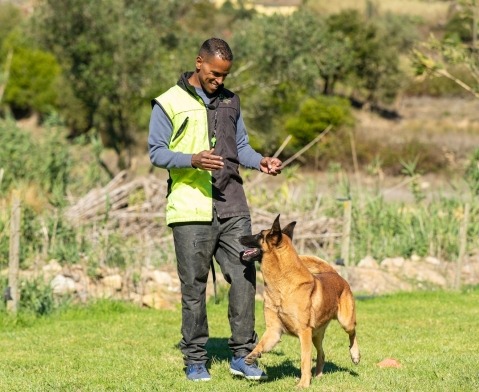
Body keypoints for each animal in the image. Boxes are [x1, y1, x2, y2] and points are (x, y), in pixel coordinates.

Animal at [240, 216, 360, 388]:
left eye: (259, 235)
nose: (239, 237)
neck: (282, 286)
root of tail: (334, 274)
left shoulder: (304, 332)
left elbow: (305, 360)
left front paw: (303, 384)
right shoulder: (274, 331)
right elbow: (261, 344)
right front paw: (252, 355)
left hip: (345, 322)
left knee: (353, 333)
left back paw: (355, 355)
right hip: (316, 335)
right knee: (322, 353)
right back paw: (318, 375)